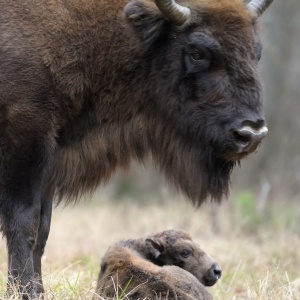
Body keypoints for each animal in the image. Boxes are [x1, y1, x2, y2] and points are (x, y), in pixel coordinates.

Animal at [0, 0, 272, 296]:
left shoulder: (51, 160)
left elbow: (43, 229)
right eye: (197, 52)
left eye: (256, 52)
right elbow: (25, 223)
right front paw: (24, 291)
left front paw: (37, 289)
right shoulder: (27, 144)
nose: (251, 133)